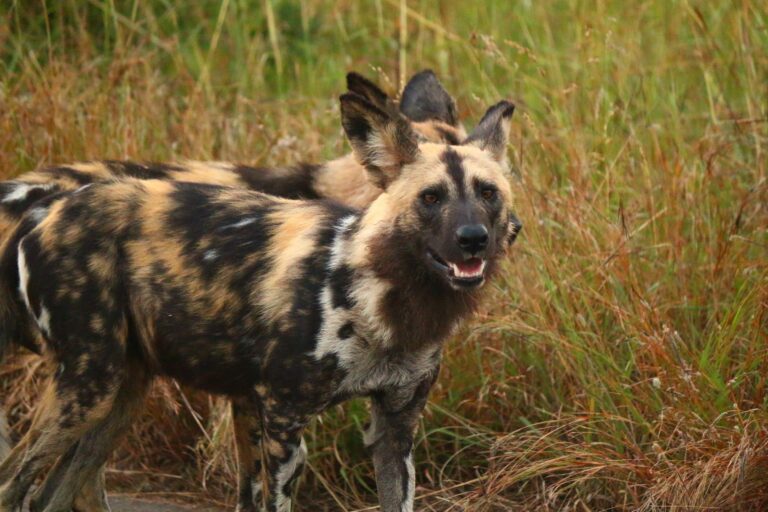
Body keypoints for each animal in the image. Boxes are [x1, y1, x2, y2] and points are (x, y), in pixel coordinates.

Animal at [0, 91, 520, 508]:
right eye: (431, 198)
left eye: (489, 193)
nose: (476, 238)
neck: (380, 298)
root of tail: (46, 212)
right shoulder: (282, 424)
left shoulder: (394, 431)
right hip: (89, 386)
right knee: (12, 486)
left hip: (117, 398)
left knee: (51, 495)